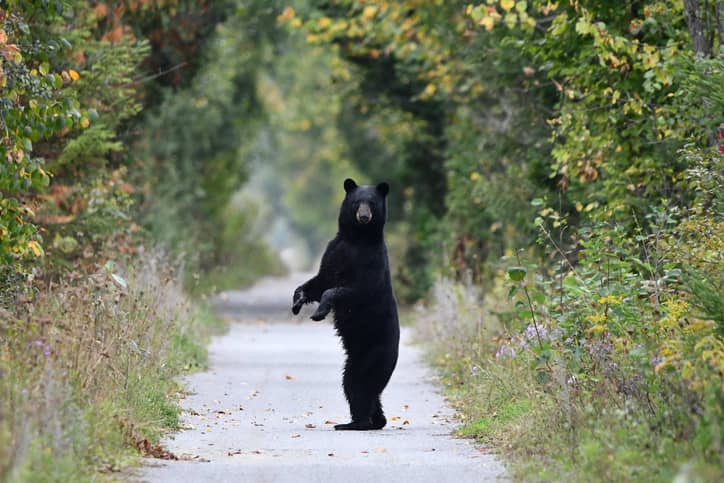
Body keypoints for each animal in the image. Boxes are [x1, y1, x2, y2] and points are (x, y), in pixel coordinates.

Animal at [292, 178, 400, 431]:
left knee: (359, 386)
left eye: (371, 203)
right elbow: (320, 281)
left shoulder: (370, 262)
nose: (364, 216)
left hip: (372, 355)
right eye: (357, 202)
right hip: (358, 359)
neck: (356, 238)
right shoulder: (333, 251)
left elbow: (348, 290)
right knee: (360, 388)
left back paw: (355, 423)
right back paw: (374, 420)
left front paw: (319, 312)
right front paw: (298, 301)